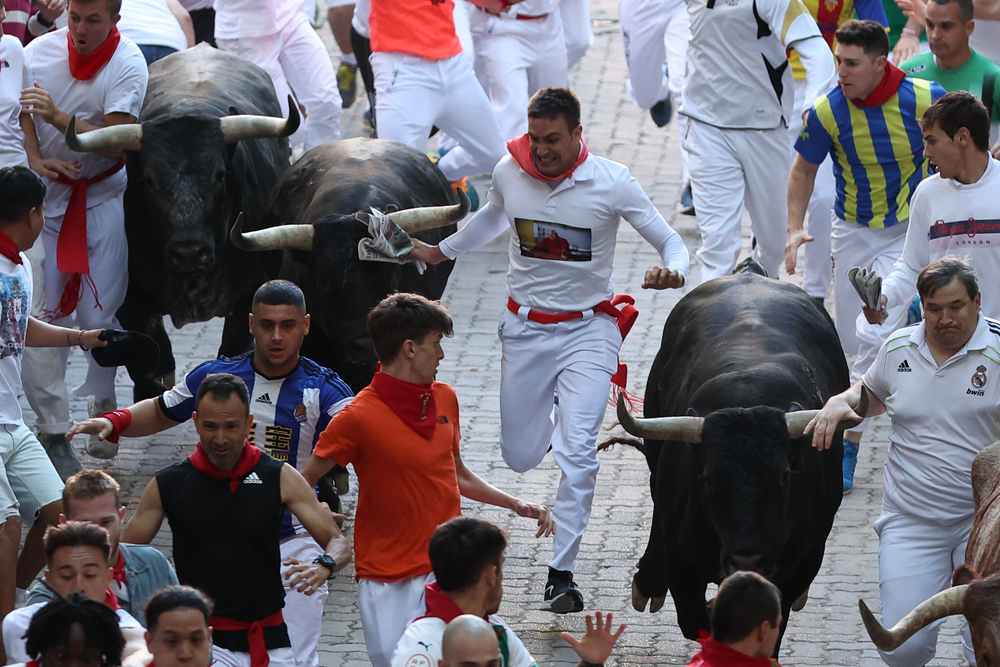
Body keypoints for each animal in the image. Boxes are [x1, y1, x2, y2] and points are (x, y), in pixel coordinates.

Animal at [624, 270, 852, 652]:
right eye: (707, 478)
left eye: (784, 476)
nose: (748, 559)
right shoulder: (681, 565)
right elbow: (696, 622)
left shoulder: (805, 561)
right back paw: (649, 581)